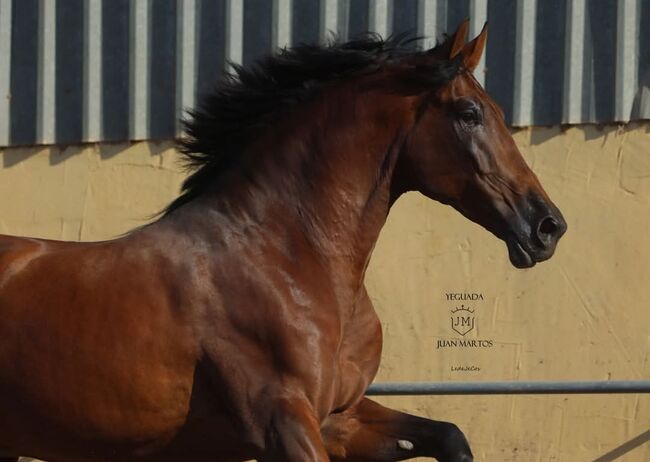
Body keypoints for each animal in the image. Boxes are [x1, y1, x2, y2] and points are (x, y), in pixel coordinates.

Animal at [0, 21, 560, 462]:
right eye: (469, 112)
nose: (548, 226)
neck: (289, 256)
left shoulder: (339, 417)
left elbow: (450, 436)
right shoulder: (283, 425)